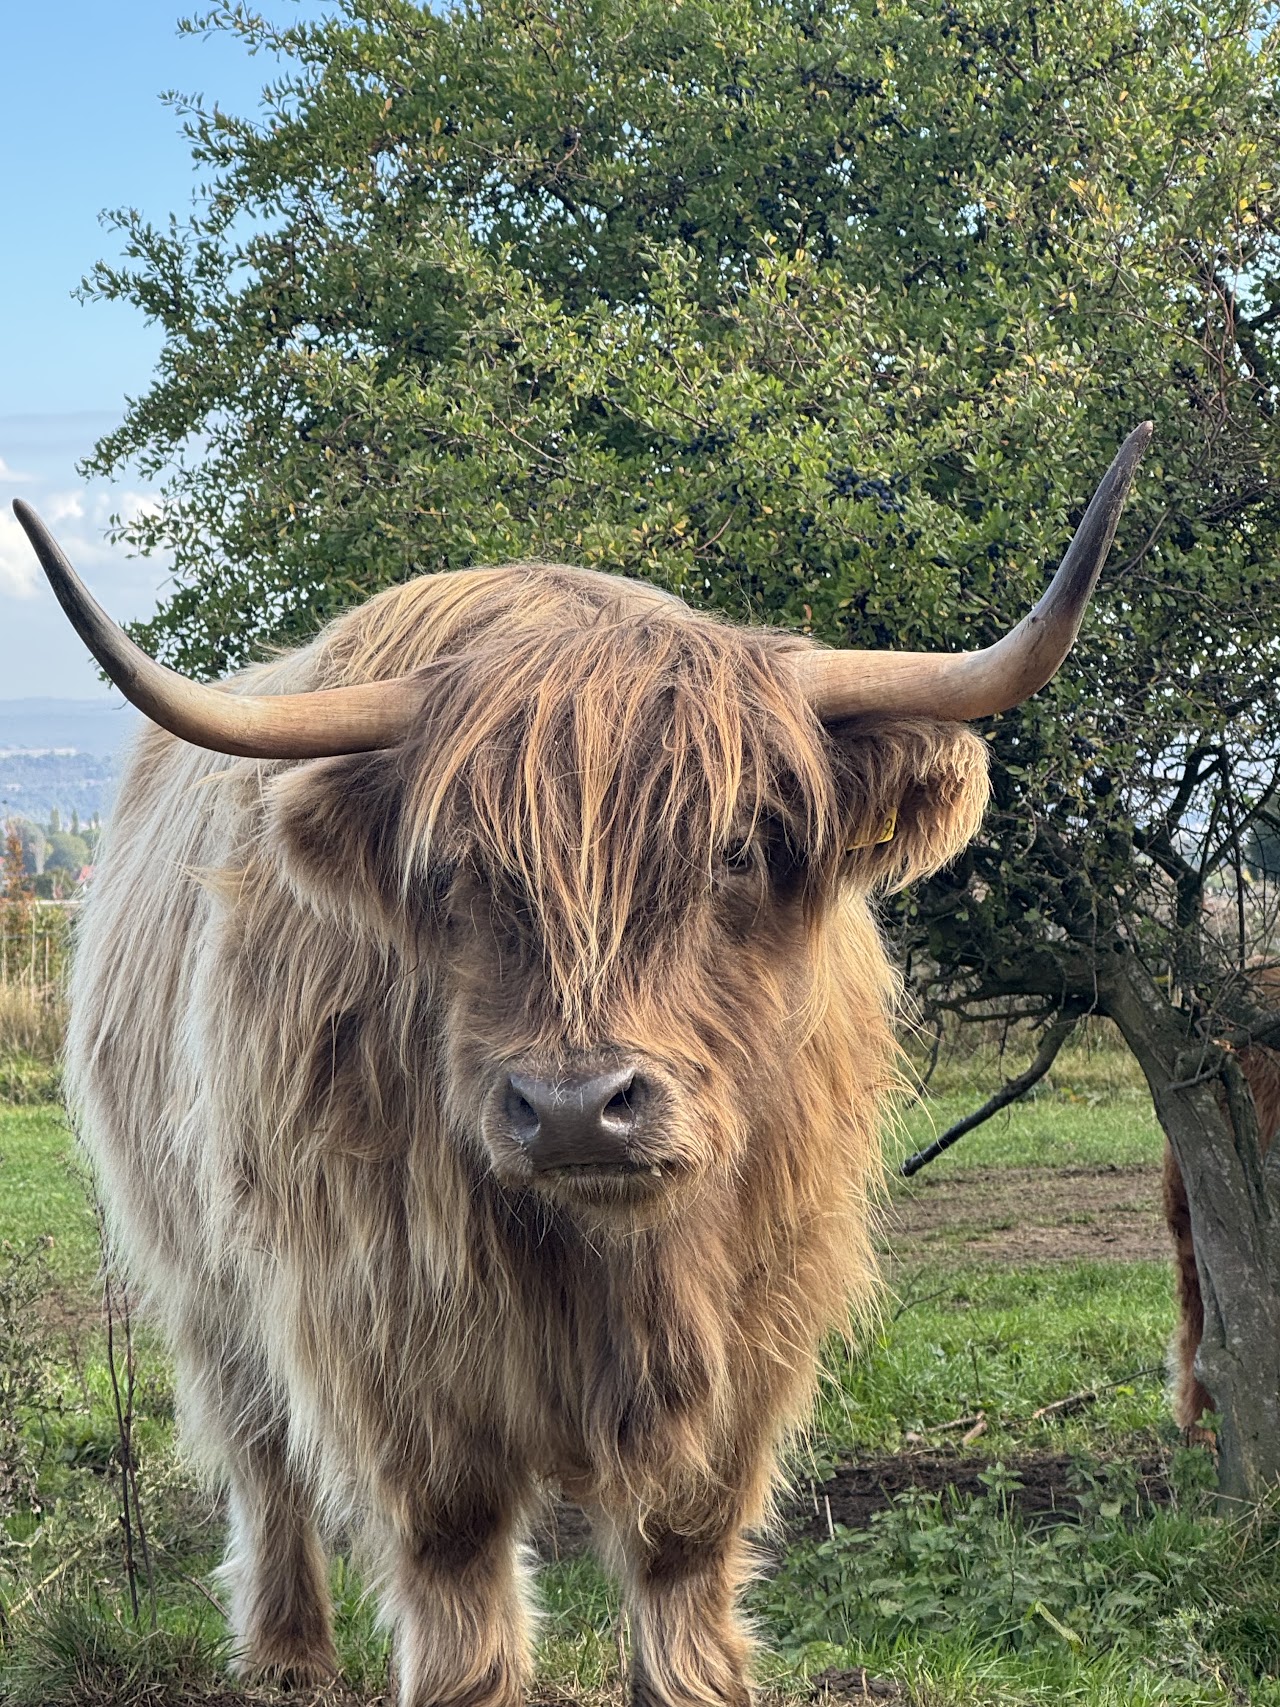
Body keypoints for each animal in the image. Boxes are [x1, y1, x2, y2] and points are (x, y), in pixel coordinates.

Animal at [13, 425, 1148, 1707]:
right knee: (262, 1457)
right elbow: (456, 1579)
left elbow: (683, 1558)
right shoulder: (392, 1333)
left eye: (738, 849)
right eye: (455, 867)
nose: (573, 1111)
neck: (609, 1258)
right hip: (206, 1277)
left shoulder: (752, 1328)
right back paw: (289, 1654)